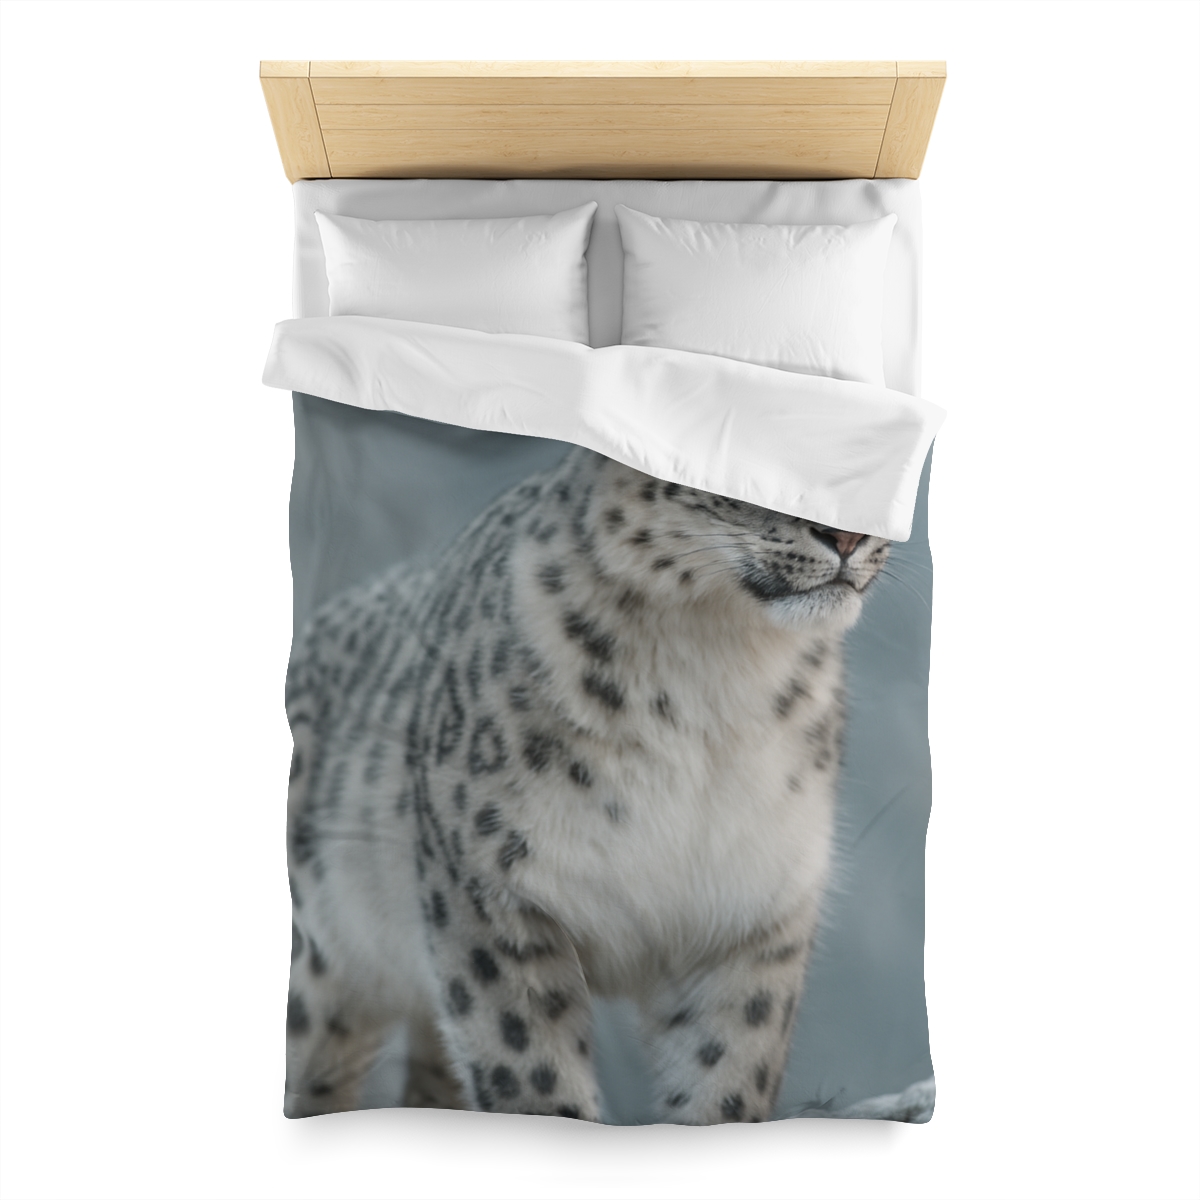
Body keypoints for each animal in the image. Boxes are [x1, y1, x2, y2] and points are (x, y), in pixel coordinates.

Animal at [283, 444, 889, 1124]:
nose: (847, 535)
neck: (720, 678)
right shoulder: (494, 898)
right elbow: (533, 1072)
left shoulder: (755, 912)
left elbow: (728, 1072)